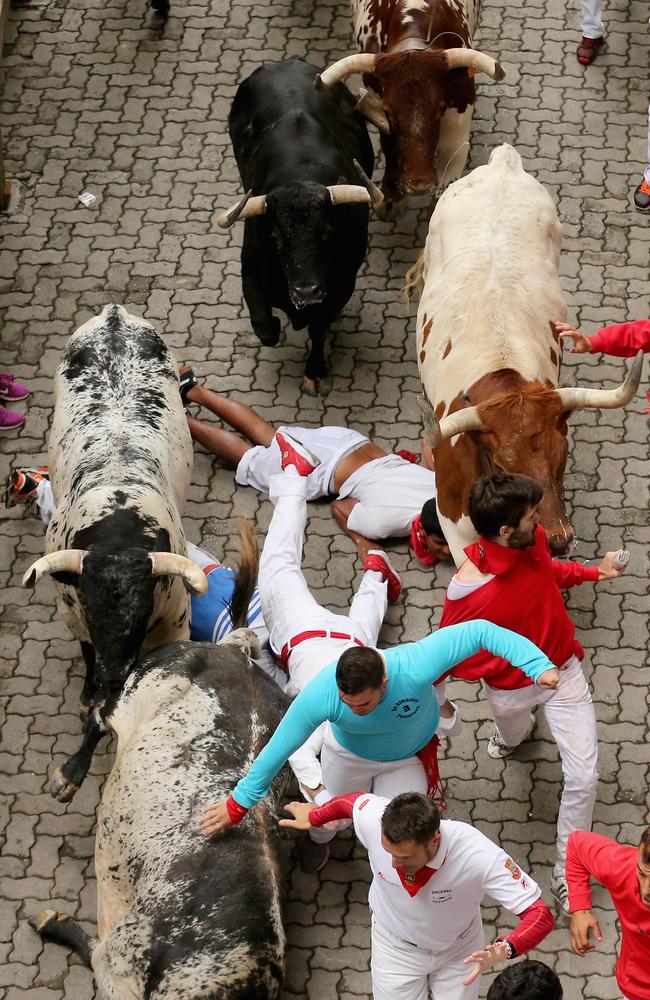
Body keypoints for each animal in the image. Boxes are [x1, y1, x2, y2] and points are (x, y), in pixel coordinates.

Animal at [22, 300, 206, 800]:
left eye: (140, 614)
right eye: (91, 604)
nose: (111, 675)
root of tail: (115, 314)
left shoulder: (169, 629)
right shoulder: (74, 616)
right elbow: (90, 661)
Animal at [216, 56, 380, 394]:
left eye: (328, 233)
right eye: (276, 237)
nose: (306, 291)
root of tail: (285, 63)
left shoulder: (340, 285)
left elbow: (319, 329)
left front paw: (314, 372)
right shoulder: (250, 269)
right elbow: (264, 325)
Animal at [316, 0, 504, 218]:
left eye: (439, 108)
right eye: (389, 111)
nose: (419, 185)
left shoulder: (459, 118)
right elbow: (389, 144)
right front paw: (393, 198)